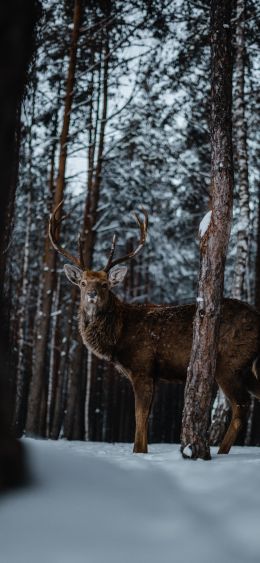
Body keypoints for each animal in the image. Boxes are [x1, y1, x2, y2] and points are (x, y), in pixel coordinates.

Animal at [48, 205, 260, 456]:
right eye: (82, 282)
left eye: (105, 284)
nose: (92, 294)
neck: (118, 338)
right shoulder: (153, 374)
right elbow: (145, 417)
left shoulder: (142, 367)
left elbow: (139, 416)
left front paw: (138, 452)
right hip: (247, 366)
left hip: (230, 363)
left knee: (242, 405)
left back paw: (220, 452)